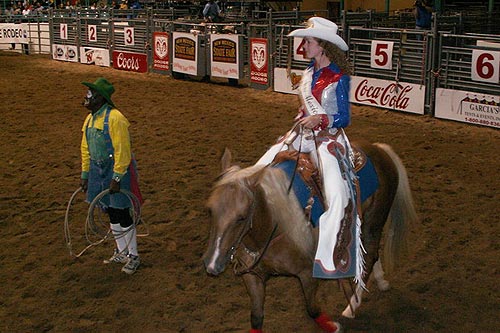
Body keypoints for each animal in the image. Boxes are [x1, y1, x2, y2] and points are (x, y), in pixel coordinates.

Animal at [202, 141, 418, 330]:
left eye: (241, 217)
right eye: (210, 210)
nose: (212, 264)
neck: (273, 227)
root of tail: (379, 149)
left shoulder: (307, 273)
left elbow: (312, 309)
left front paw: (333, 326)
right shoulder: (252, 277)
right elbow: (256, 318)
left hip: (375, 220)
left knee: (371, 255)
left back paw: (351, 307)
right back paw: (379, 282)